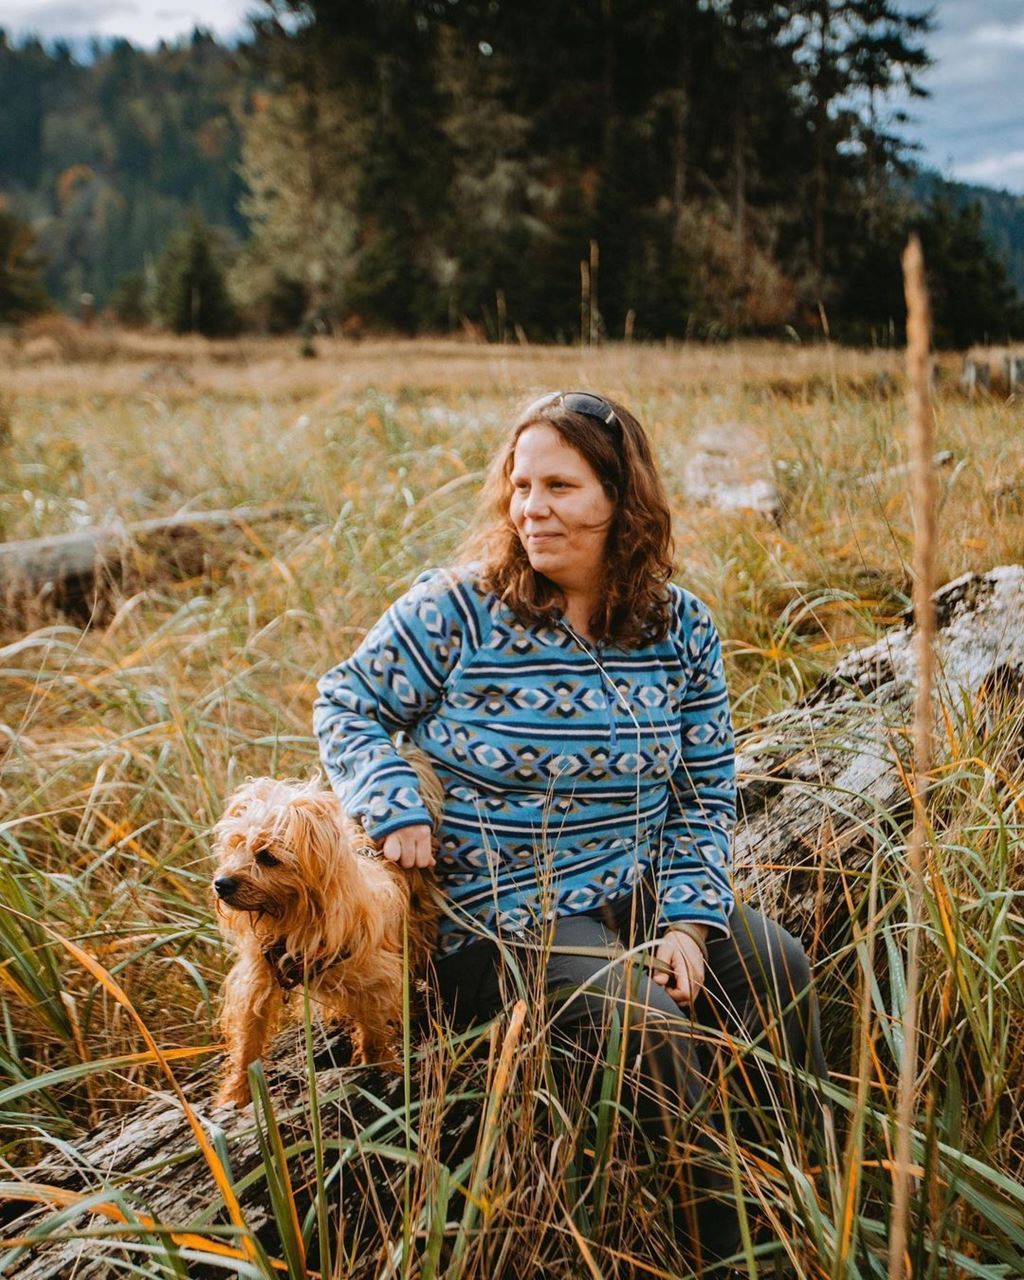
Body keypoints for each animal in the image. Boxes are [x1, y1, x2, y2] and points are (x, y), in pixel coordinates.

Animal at [212, 752, 440, 1105]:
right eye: (235, 846)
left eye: (267, 857)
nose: (220, 884)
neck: (295, 919)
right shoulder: (257, 981)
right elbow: (248, 1043)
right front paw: (236, 1093)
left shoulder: (375, 982)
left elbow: (374, 1033)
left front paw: (382, 1067)